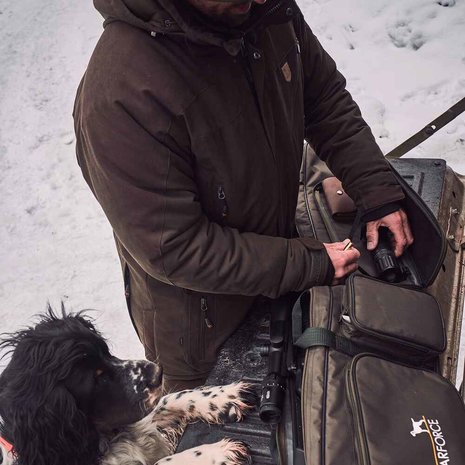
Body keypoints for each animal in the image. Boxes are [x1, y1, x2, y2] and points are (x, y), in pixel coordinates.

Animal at [0, 308, 254, 464]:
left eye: (106, 352)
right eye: (98, 378)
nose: (157, 372)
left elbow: (168, 399)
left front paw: (222, 399)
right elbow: (164, 461)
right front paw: (215, 453)